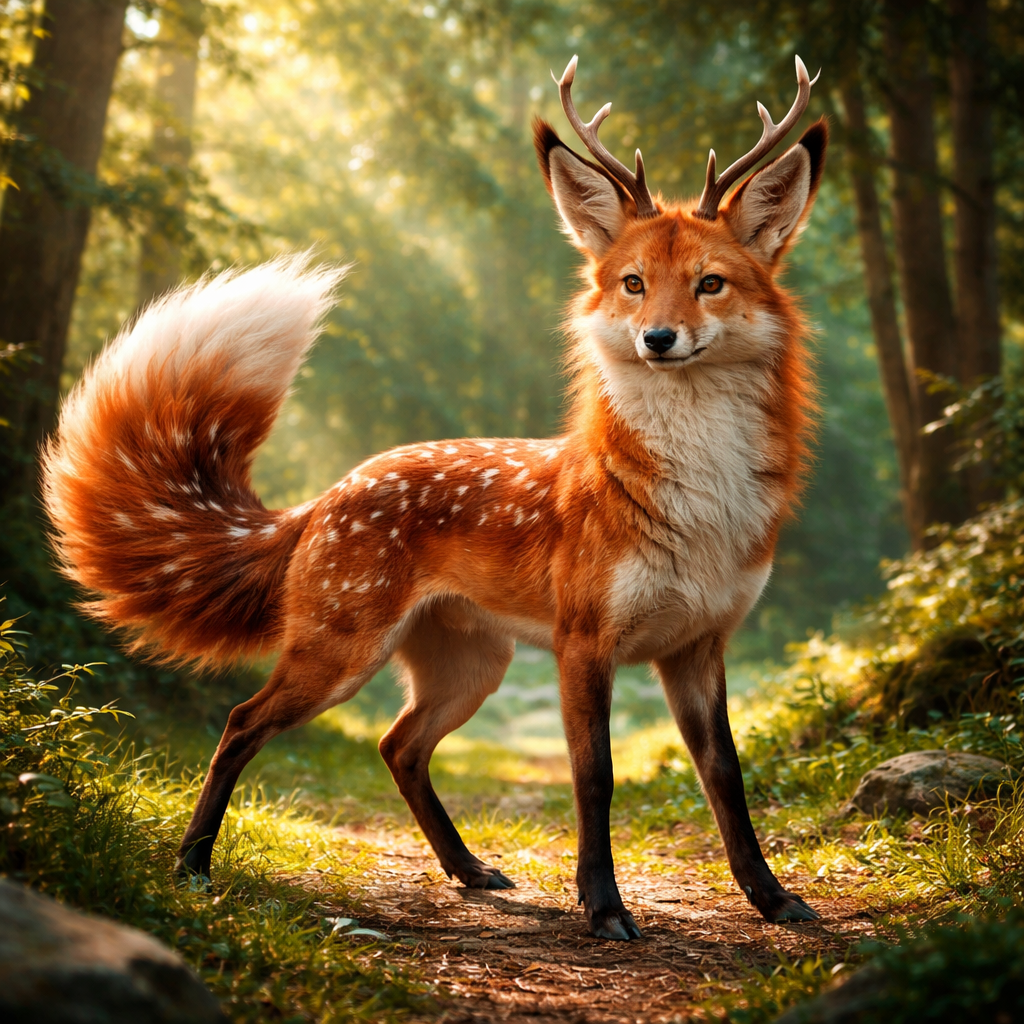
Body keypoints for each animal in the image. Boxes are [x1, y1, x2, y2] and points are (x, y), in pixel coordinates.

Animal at [43, 55, 827, 940]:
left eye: (710, 284)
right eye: (633, 284)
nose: (658, 339)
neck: (699, 507)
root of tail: (326, 496)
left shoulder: (699, 645)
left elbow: (726, 778)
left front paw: (771, 898)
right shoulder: (585, 644)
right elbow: (594, 781)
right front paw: (603, 906)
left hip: (470, 669)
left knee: (398, 745)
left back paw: (467, 869)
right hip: (341, 656)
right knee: (243, 724)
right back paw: (192, 866)